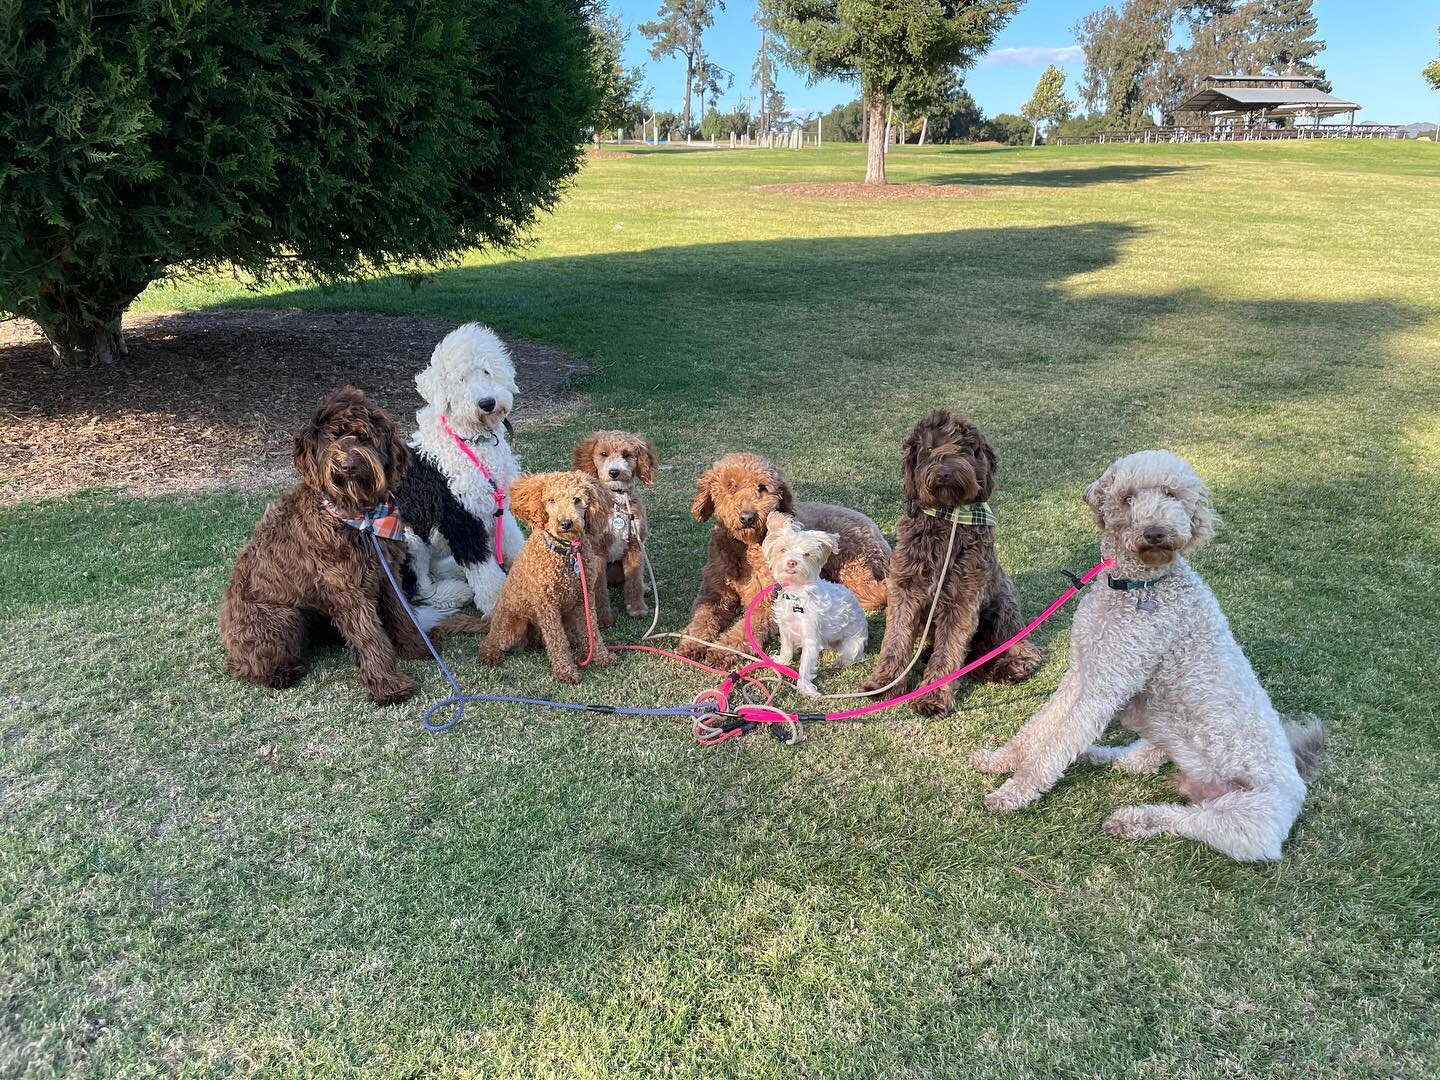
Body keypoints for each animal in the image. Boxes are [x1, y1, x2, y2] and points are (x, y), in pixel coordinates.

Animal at [397, 324, 527, 616]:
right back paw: (455, 592)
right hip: (408, 538)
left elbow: (513, 543)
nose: (487, 403)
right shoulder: (462, 518)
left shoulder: (498, 506)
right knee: (418, 590)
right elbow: (485, 573)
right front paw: (495, 605)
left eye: (486, 371)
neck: (473, 440)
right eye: (460, 380)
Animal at [676, 449, 887, 668]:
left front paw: (722, 650)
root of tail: (876, 532)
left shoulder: (766, 601)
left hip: (854, 568)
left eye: (761, 487)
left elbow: (746, 629)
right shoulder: (714, 593)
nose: (747, 517)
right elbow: (702, 619)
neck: (745, 548)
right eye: (732, 486)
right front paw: (692, 643)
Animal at [760, 512, 869, 696]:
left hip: (853, 644)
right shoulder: (785, 628)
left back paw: (840, 662)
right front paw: (782, 661)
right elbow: (786, 647)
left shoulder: (810, 638)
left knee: (854, 657)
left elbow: (805, 666)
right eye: (783, 549)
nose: (792, 562)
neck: (796, 595)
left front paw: (806, 689)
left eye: (807, 554)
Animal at [967, 452, 1324, 869]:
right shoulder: (1082, 672)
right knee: (1133, 762)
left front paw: (1012, 792)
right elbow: (1040, 726)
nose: (1156, 532)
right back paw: (1092, 755)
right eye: (1127, 497)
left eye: (1173, 495)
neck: (1137, 589)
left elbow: (1053, 747)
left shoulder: (1105, 686)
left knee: (1185, 818)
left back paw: (1132, 819)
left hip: (1247, 823)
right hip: (1162, 737)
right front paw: (1000, 760)